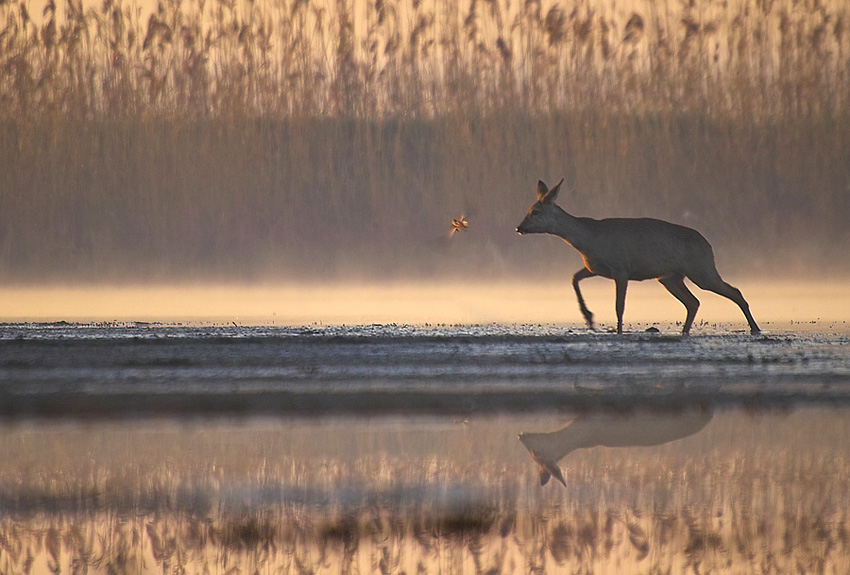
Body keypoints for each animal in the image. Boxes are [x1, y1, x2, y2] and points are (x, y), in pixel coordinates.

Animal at [512, 178, 760, 336]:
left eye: (535, 211)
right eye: (528, 209)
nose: (519, 228)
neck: (587, 239)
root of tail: (708, 244)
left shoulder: (621, 268)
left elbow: (619, 305)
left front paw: (617, 330)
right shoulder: (595, 268)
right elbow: (574, 278)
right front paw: (589, 317)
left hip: (701, 269)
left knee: (734, 291)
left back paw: (755, 328)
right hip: (670, 277)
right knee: (693, 302)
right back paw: (684, 331)